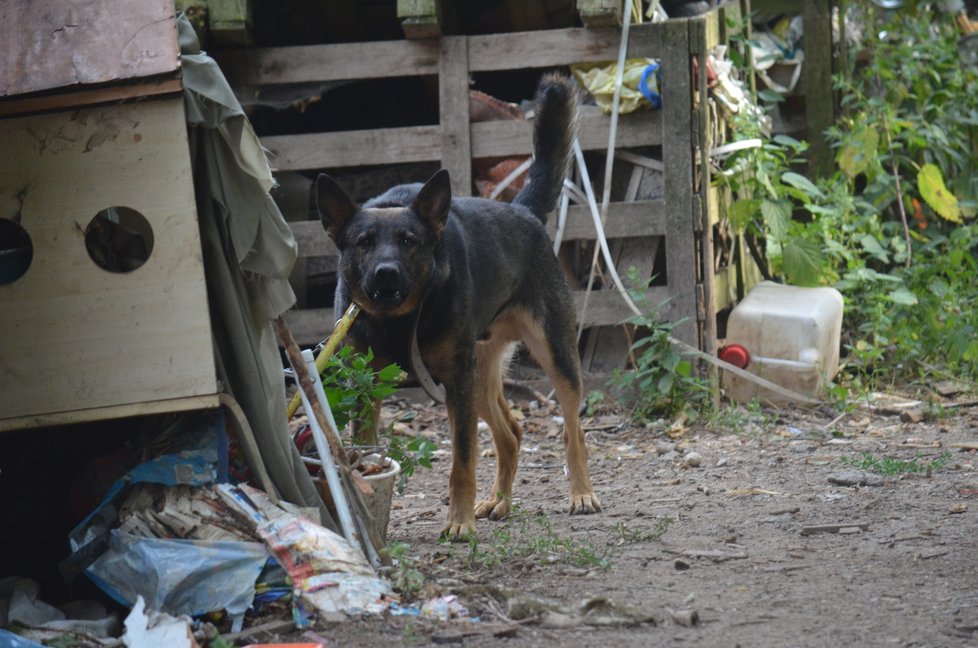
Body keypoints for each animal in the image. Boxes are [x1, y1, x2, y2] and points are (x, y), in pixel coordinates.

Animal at [316, 73, 600, 540]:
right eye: (364, 243)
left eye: (409, 242)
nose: (386, 274)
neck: (399, 320)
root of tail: (522, 211)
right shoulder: (370, 385)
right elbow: (364, 445)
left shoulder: (456, 383)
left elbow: (462, 461)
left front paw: (459, 523)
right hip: (477, 375)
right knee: (512, 433)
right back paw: (500, 502)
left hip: (548, 357)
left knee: (572, 430)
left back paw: (581, 495)